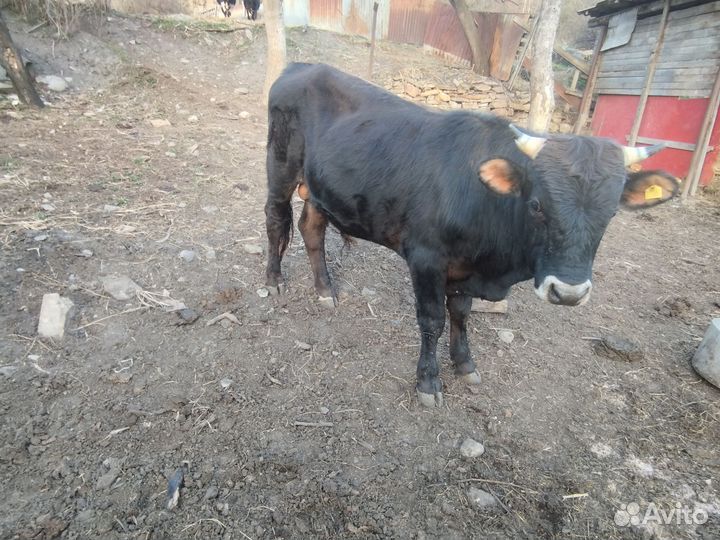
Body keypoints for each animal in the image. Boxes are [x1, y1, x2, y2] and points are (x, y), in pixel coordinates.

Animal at [264, 63, 679, 408]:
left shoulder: (466, 268)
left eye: (612, 213)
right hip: (280, 166)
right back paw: (274, 280)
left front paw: (464, 363)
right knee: (275, 220)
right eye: (536, 205)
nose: (569, 293)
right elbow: (432, 319)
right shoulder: (426, 258)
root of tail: (302, 67)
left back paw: (325, 290)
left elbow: (461, 314)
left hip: (320, 189)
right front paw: (428, 382)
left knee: (312, 229)